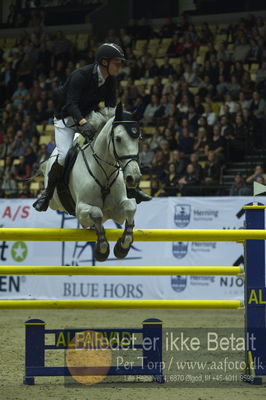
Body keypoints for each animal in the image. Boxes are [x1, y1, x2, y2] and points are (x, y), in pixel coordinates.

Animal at [42, 101, 141, 260]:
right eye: (118, 138)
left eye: (139, 138)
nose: (134, 177)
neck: (104, 173)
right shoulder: (81, 210)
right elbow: (96, 213)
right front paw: (102, 249)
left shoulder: (117, 212)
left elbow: (130, 207)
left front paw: (123, 247)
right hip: (55, 203)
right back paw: (42, 199)